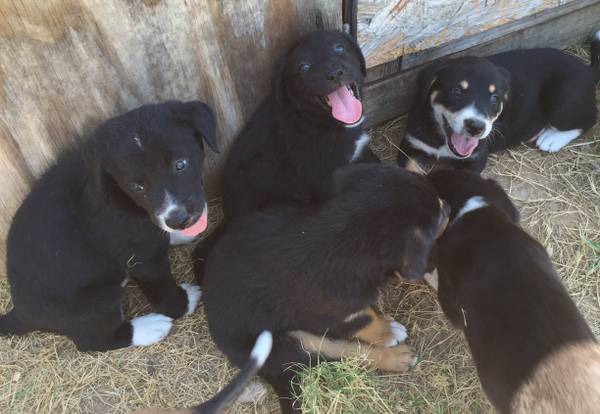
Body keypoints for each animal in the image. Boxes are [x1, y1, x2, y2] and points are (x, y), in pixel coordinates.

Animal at [1, 102, 218, 350]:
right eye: (137, 187)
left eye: (180, 165)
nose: (178, 220)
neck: (119, 196)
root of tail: (21, 312)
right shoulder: (142, 260)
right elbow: (161, 288)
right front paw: (183, 304)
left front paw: (177, 235)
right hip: (96, 300)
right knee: (94, 341)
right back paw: (148, 328)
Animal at [192, 30, 378, 280]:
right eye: (304, 67)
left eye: (339, 48)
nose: (335, 73)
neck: (312, 120)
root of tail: (229, 219)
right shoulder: (322, 181)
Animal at [198, 165, 450, 414]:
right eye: (437, 217)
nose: (448, 207)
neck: (348, 237)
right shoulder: (333, 310)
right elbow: (366, 320)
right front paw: (388, 331)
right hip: (288, 343)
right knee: (342, 353)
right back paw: (398, 357)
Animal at [398, 32, 600, 173]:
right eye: (456, 91)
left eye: (495, 98)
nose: (476, 127)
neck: (442, 141)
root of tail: (587, 70)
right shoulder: (411, 147)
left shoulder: (475, 158)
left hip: (564, 100)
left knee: (589, 119)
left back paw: (552, 139)